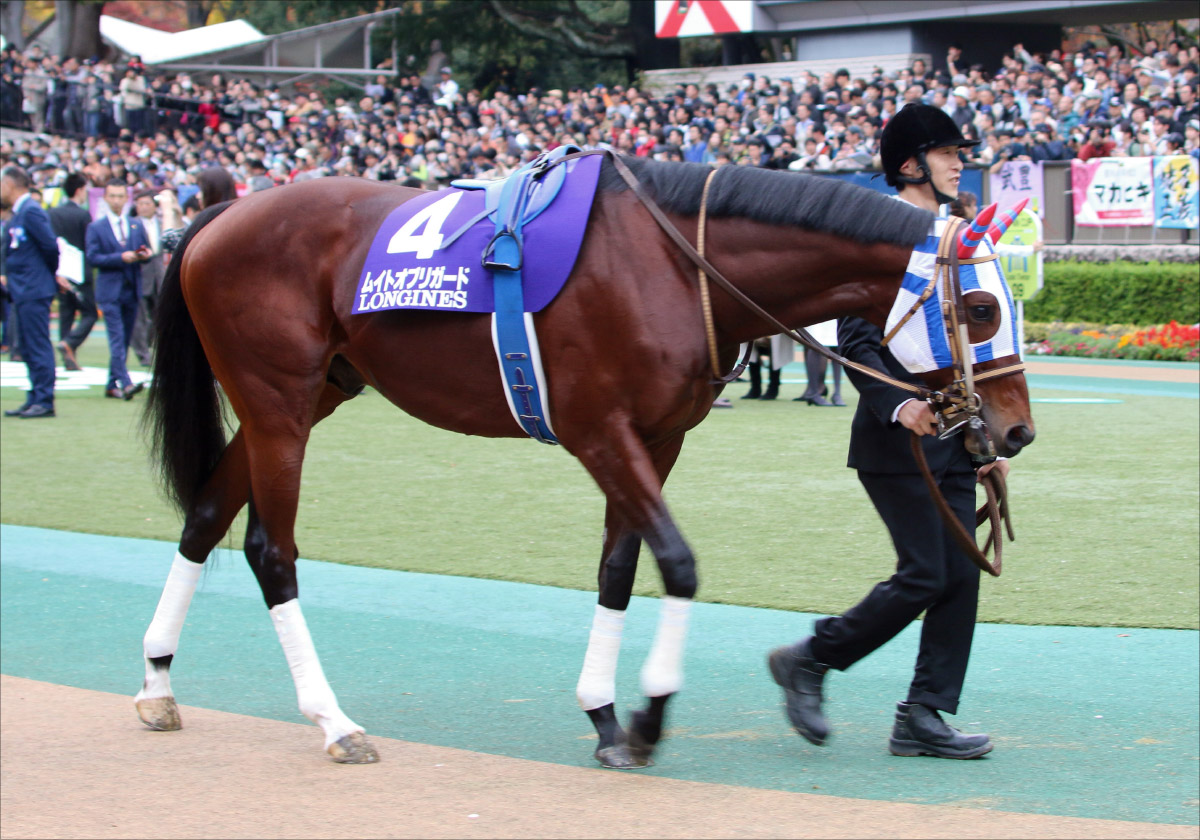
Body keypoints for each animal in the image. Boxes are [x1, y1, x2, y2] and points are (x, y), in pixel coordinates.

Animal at [136, 153, 1035, 767]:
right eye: (980, 307)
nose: (1016, 431)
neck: (670, 262)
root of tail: (220, 218)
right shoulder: (599, 431)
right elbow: (678, 565)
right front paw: (647, 719)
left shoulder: (657, 438)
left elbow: (619, 569)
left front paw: (605, 715)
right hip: (278, 403)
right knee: (270, 550)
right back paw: (333, 719)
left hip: (308, 395)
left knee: (206, 516)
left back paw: (156, 684)